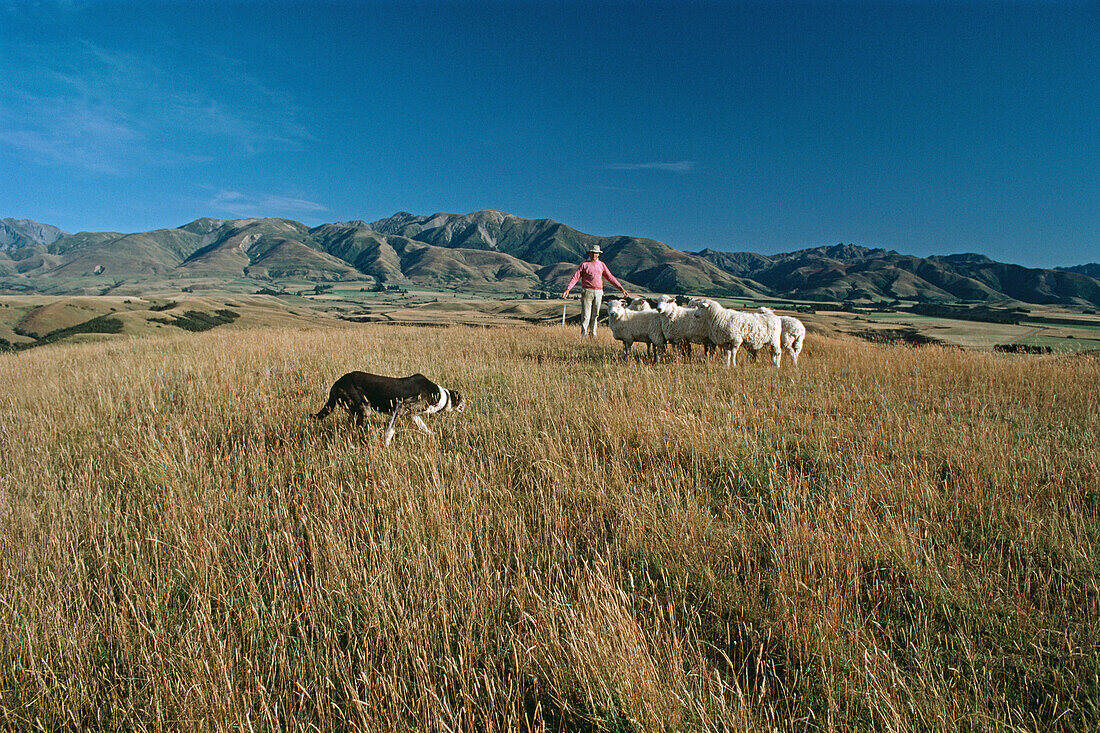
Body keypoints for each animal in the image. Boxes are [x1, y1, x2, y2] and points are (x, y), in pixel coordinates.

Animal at [314, 372, 464, 444]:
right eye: (462, 400)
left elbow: (423, 427)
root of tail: (336, 383)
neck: (441, 395)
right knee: (355, 432)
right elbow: (390, 430)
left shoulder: (413, 414)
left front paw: (433, 435)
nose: (466, 405)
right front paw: (386, 445)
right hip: (365, 409)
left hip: (354, 412)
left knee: (348, 432)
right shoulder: (402, 407)